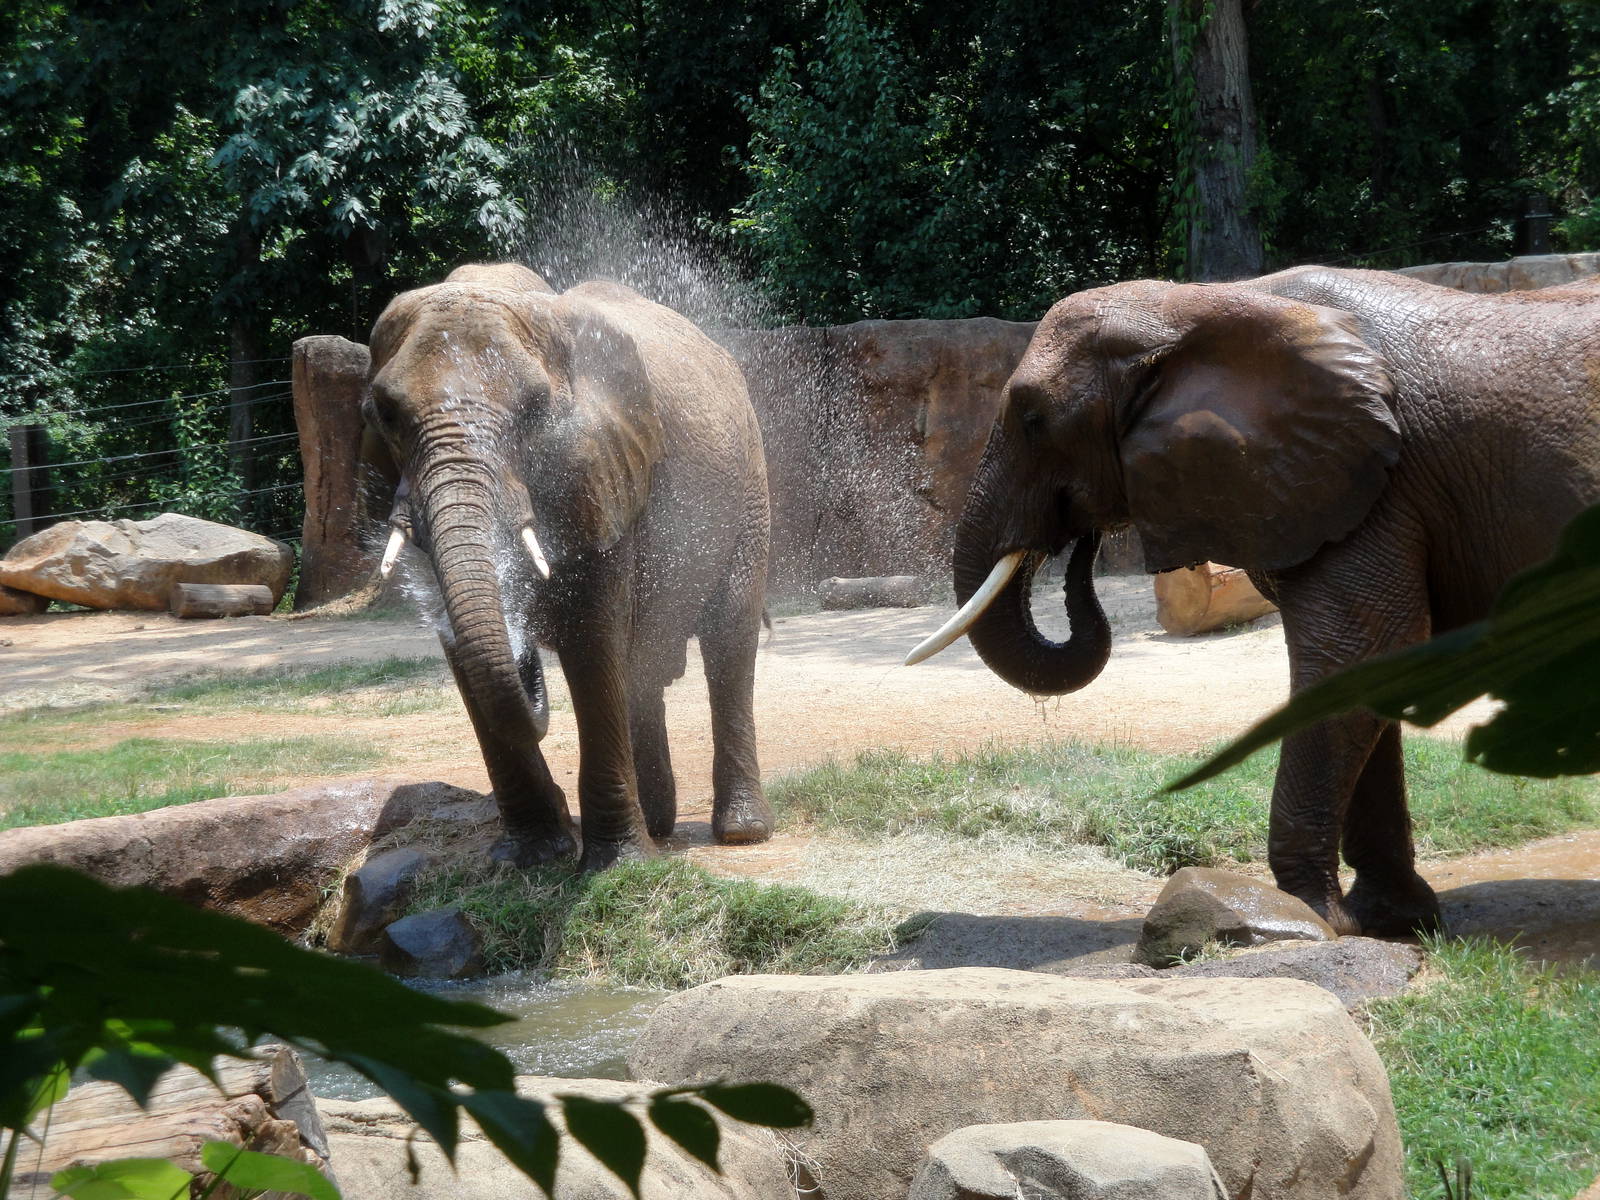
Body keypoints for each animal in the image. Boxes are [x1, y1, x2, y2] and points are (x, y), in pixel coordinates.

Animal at [365, 261, 772, 870]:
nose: (524, 658)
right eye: (386, 414)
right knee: (644, 668)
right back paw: (660, 825)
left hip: (749, 481)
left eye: (536, 408)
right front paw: (530, 857)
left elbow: (592, 637)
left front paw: (617, 867)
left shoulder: (603, 468)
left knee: (729, 639)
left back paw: (741, 832)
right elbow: (460, 647)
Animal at [909, 265, 1600, 935]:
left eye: (1033, 420)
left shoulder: (1374, 486)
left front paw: (1311, 918)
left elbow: (1364, 646)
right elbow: (1375, 665)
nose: (1081, 542)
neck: (1211, 300)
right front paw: (1390, 923)